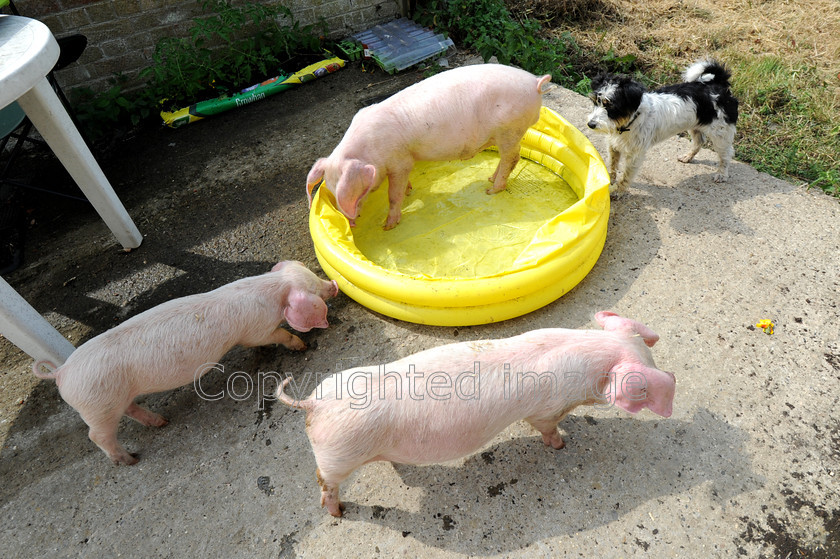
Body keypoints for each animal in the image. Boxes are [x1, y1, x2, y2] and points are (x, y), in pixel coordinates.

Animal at [32, 260, 338, 466]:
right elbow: (278, 335)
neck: (269, 289)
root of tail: (62, 372)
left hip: (113, 400)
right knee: (97, 436)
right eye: (314, 288)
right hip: (98, 406)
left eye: (313, 275)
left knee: (130, 410)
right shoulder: (256, 331)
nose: (333, 285)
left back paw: (161, 422)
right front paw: (301, 345)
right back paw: (130, 460)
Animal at [278, 310, 680, 516]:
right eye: (646, 383)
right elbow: (547, 428)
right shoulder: (545, 410)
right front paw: (561, 446)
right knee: (324, 481)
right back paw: (337, 512)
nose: (672, 377)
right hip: (338, 455)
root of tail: (314, 404)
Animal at [306, 65, 556, 230]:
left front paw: (388, 226)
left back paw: (491, 190)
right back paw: (489, 180)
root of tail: (535, 83)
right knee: (508, 159)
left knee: (512, 158)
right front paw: (409, 191)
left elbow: (393, 195)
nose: (351, 223)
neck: (370, 150)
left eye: (357, 194)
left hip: (509, 130)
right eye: (330, 187)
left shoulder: (400, 162)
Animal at [588, 59, 740, 198]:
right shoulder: (613, 146)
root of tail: (718, 85)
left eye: (611, 106)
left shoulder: (635, 155)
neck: (631, 121)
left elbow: (625, 175)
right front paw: (607, 181)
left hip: (721, 134)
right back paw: (687, 157)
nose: (591, 124)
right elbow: (612, 166)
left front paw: (617, 191)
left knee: (726, 154)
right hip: (695, 125)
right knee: (699, 142)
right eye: (595, 102)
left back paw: (722, 174)